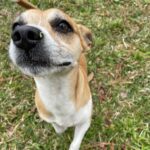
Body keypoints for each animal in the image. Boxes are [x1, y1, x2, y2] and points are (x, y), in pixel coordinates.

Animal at [9, 8, 92, 150]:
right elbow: (58, 127)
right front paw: (61, 129)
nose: (23, 34)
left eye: (63, 26)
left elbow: (75, 142)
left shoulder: (85, 122)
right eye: (16, 26)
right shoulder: (50, 119)